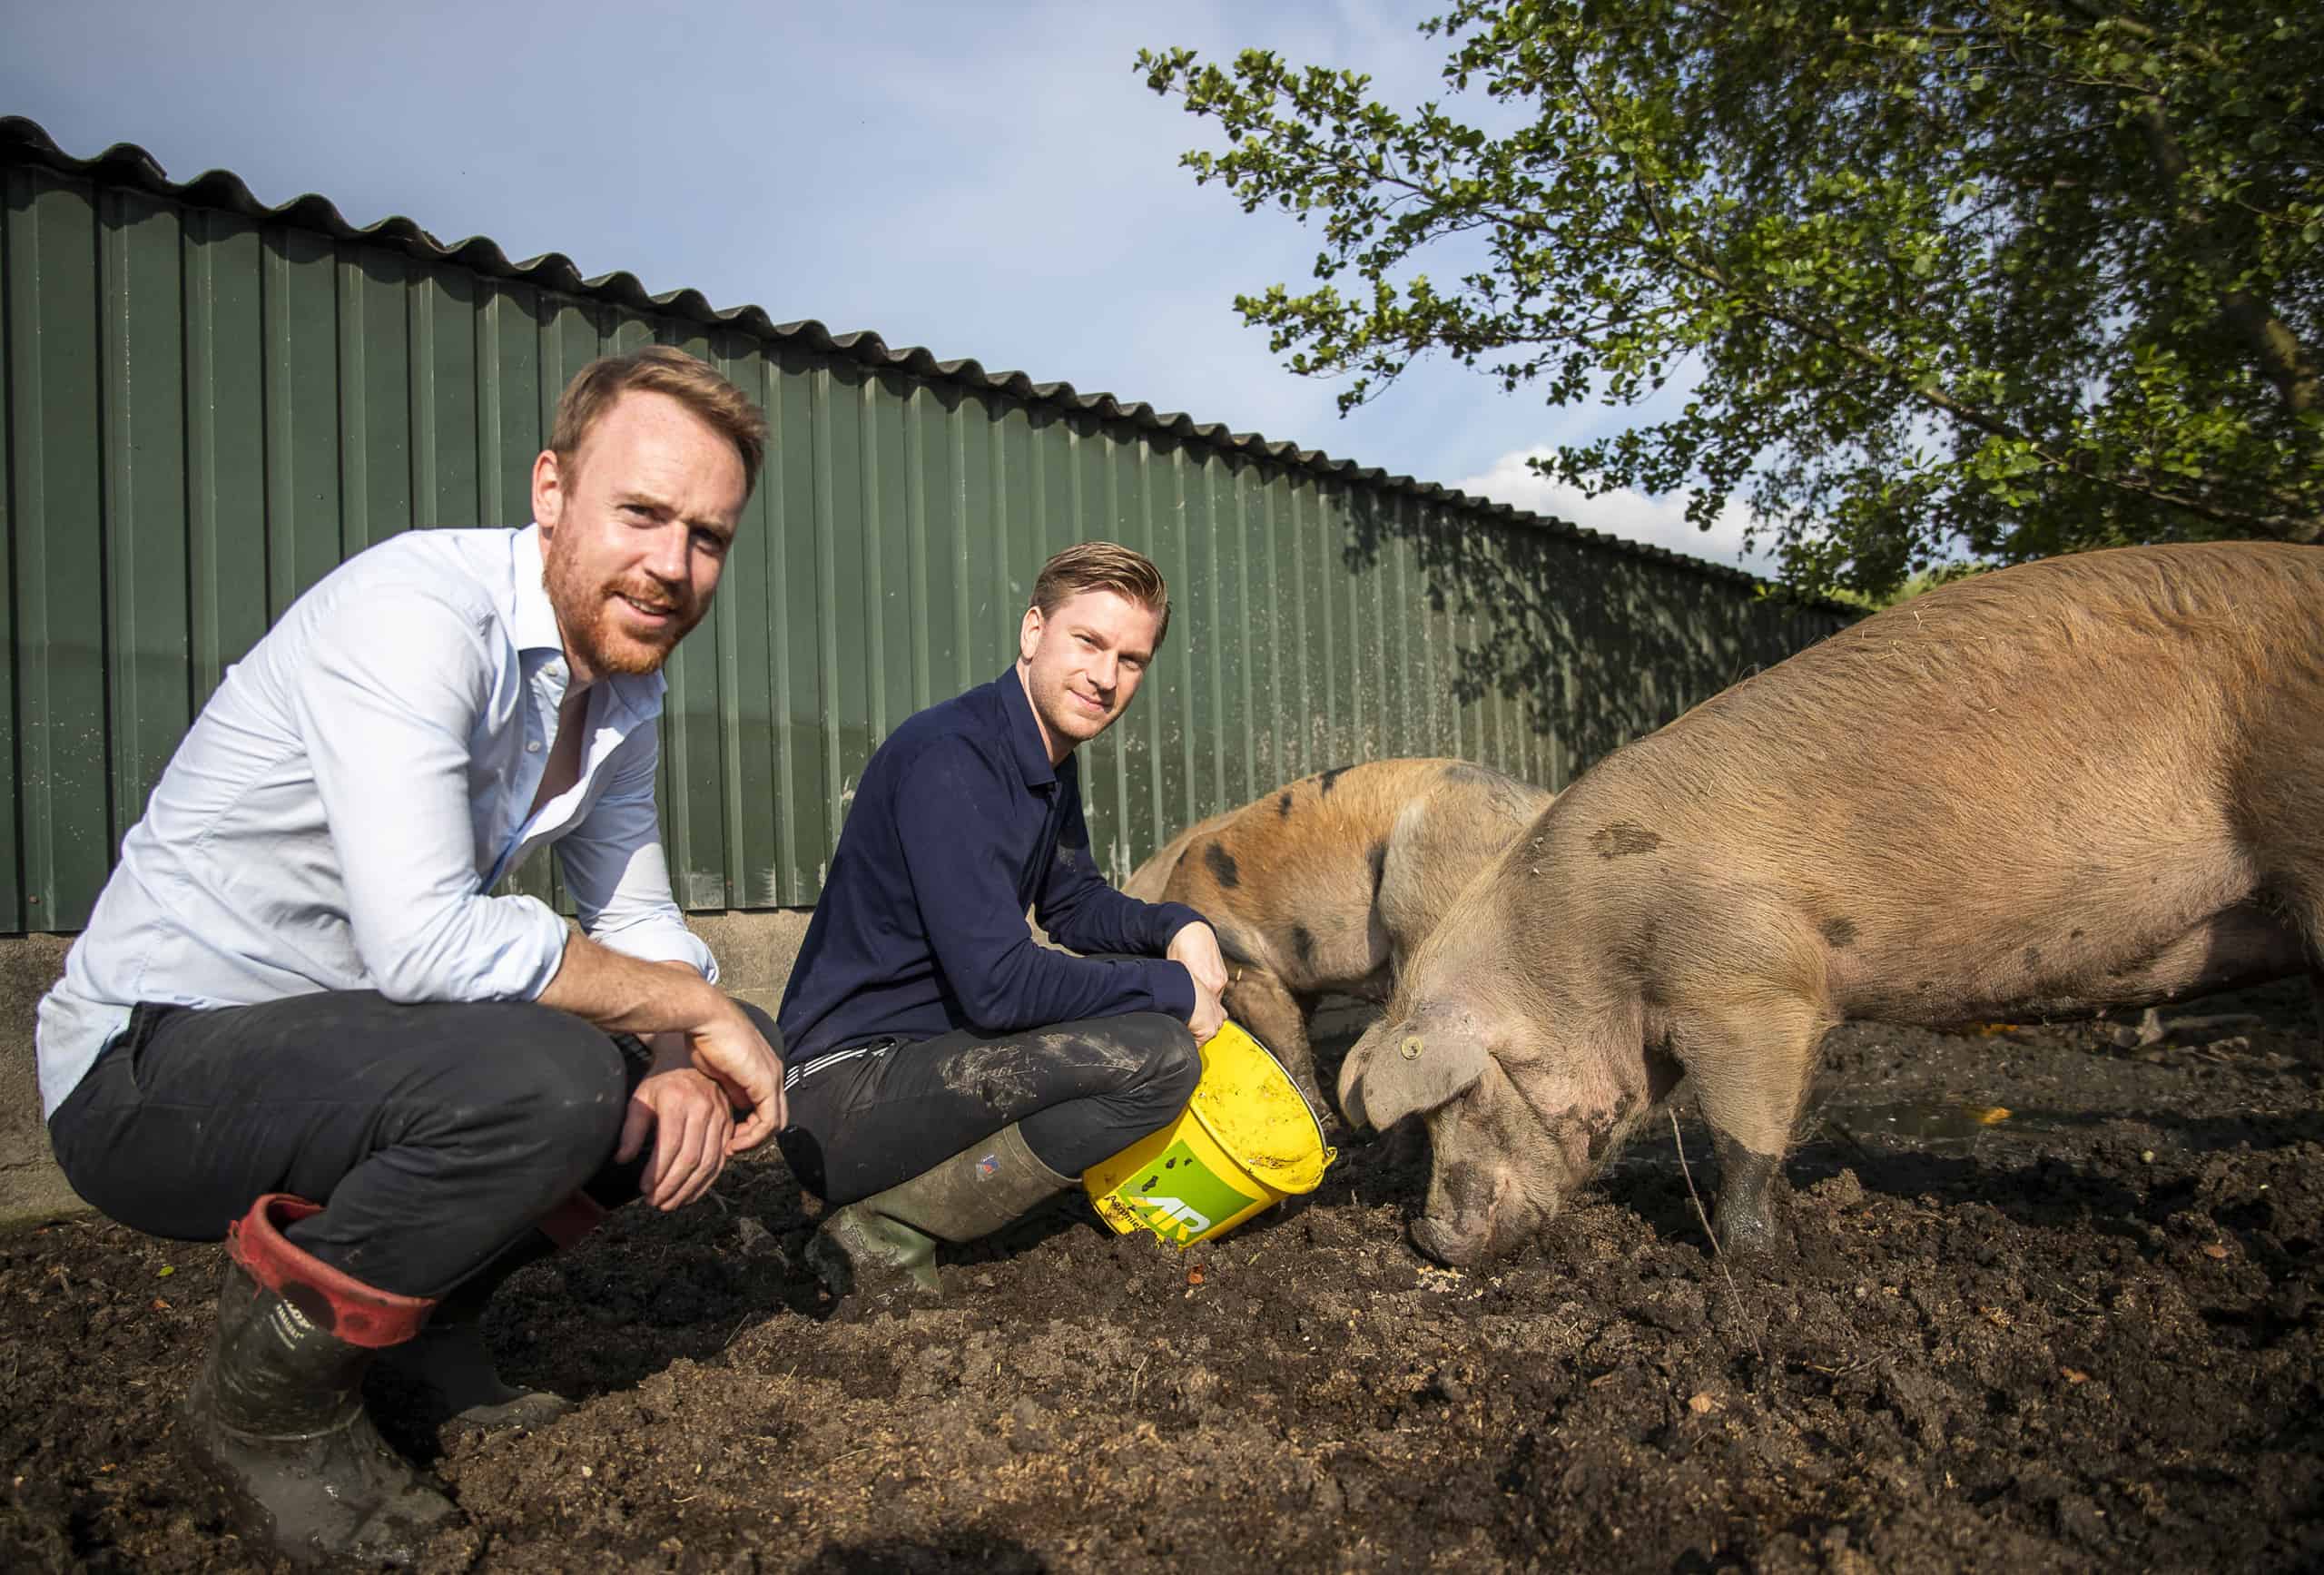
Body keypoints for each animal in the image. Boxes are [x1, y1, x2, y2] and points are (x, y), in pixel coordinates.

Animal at [1338, 543, 2324, 1273]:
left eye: (1460, 1099)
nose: (1426, 1238)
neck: (1589, 950)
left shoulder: (1750, 986)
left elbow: (1745, 1139)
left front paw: (1753, 1266)